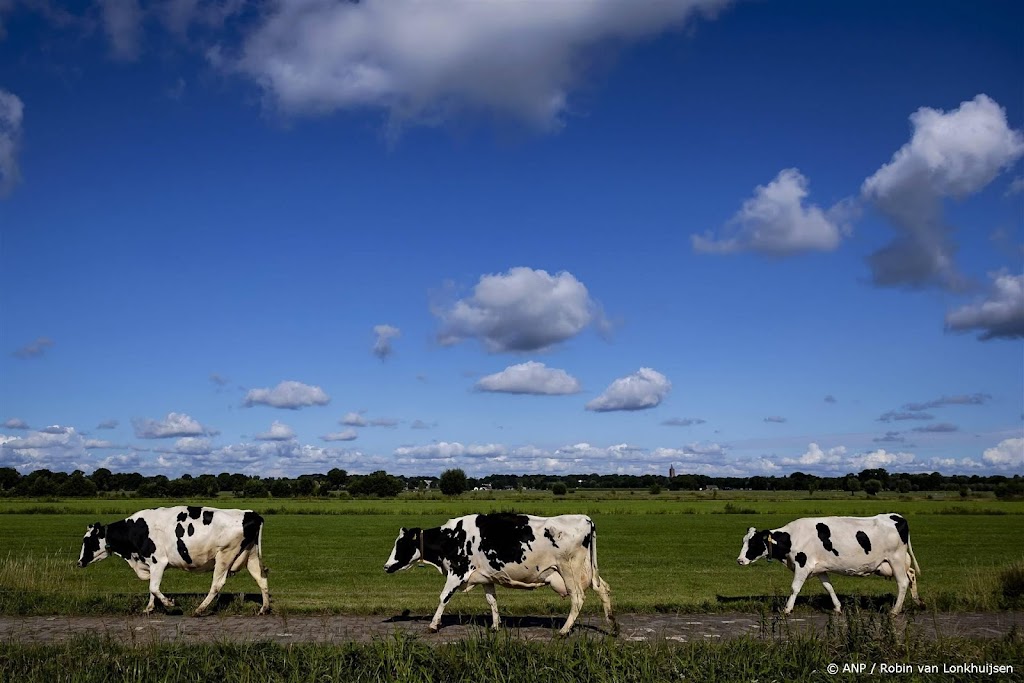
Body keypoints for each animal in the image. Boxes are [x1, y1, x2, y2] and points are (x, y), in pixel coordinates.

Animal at [77, 505, 270, 618]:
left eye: (88, 540)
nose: (79, 562)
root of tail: (250, 513)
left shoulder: (158, 561)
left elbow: (153, 587)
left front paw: (171, 604)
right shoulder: (150, 564)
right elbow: (152, 589)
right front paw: (149, 608)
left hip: (225, 555)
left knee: (217, 583)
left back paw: (199, 609)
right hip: (251, 555)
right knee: (261, 579)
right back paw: (264, 608)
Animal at [385, 511, 614, 634]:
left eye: (401, 544)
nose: (386, 567)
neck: (453, 537)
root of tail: (584, 518)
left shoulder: (457, 572)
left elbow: (443, 597)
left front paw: (433, 625)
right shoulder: (486, 577)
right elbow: (492, 601)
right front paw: (495, 626)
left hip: (569, 570)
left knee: (578, 597)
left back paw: (564, 631)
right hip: (588, 570)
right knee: (603, 589)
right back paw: (612, 626)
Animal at [737, 516, 921, 618]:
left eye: (753, 543)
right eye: (744, 540)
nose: (739, 560)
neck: (791, 538)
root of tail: (896, 516)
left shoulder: (803, 564)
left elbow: (795, 588)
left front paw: (787, 609)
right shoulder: (820, 569)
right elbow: (829, 588)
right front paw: (838, 608)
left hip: (896, 559)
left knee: (903, 582)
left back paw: (895, 611)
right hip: (893, 563)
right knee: (911, 574)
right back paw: (918, 602)